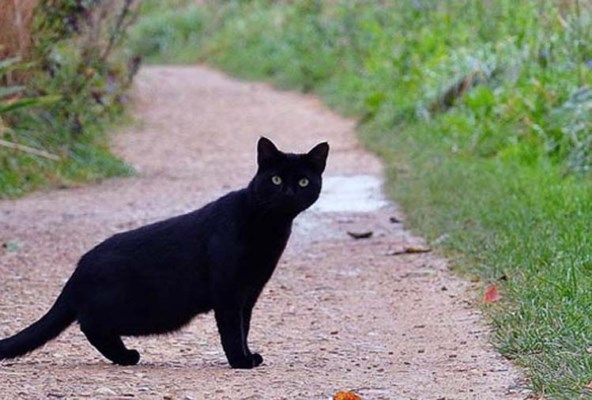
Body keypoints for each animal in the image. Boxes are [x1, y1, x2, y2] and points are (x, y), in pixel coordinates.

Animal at [0, 137, 329, 369]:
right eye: (276, 179)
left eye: (302, 181)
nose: (288, 192)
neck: (271, 227)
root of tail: (78, 270)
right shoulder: (229, 292)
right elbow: (232, 330)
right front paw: (240, 361)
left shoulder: (250, 293)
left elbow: (244, 327)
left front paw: (248, 356)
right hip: (142, 309)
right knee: (90, 324)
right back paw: (127, 356)